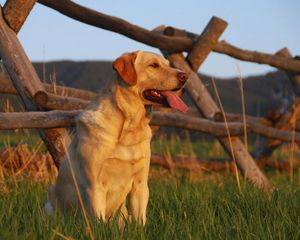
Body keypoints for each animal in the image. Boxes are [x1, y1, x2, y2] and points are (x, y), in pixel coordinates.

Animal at [45, 50, 189, 225]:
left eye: (168, 64)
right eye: (153, 65)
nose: (185, 75)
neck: (129, 127)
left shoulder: (140, 184)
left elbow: (140, 220)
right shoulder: (95, 185)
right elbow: (99, 221)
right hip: (50, 204)